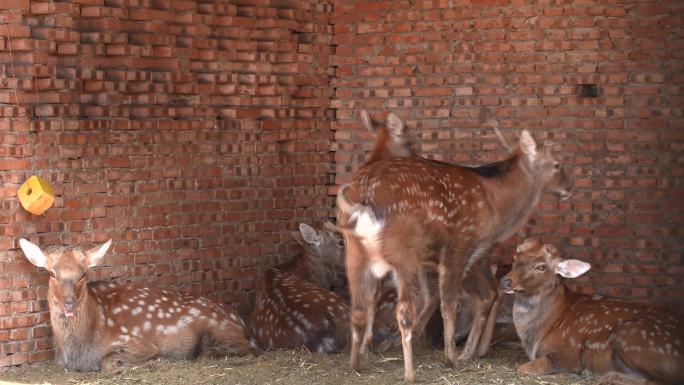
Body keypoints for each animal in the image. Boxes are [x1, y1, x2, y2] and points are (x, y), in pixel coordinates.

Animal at [19, 237, 260, 372]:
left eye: (83, 273)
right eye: (52, 273)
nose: (69, 303)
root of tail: (244, 325)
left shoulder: (138, 341)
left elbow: (108, 361)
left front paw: (151, 363)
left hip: (220, 330)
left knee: (244, 351)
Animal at [336, 127, 572, 380]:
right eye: (557, 164)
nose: (570, 188)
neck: (495, 202)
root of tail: (364, 198)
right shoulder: (461, 245)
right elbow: (450, 303)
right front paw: (451, 357)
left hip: (355, 252)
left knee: (359, 307)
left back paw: (356, 363)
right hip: (404, 253)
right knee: (406, 310)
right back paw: (411, 373)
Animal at [500, 238, 680, 384]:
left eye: (542, 267)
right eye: (515, 258)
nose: (505, 281)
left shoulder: (567, 355)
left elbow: (523, 368)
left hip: (634, 336)